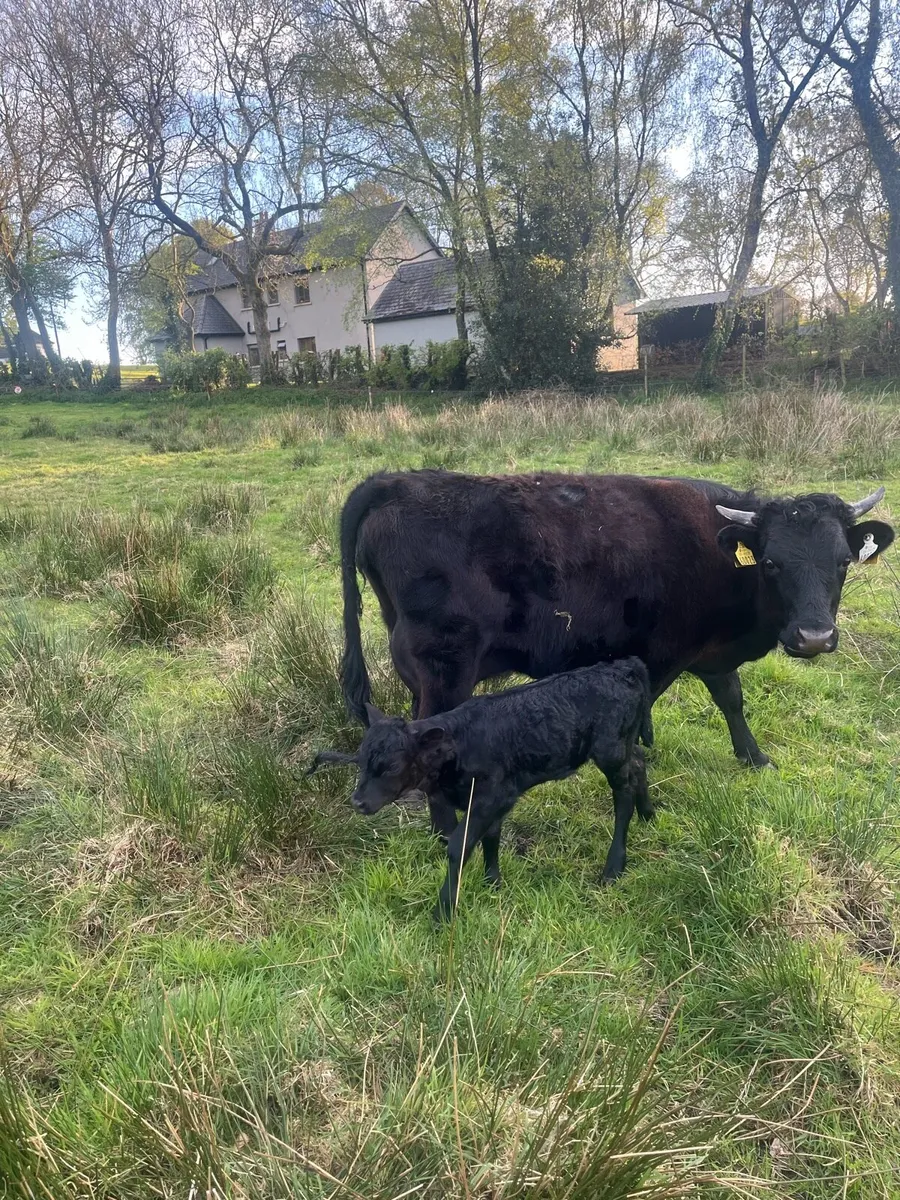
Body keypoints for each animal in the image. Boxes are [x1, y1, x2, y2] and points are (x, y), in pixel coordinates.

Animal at [311, 656, 654, 920]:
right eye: (361, 759)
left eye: (392, 767)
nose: (358, 801)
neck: (458, 747)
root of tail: (620, 667)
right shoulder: (491, 801)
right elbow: (491, 837)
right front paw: (493, 884)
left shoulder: (492, 796)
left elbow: (458, 846)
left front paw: (443, 913)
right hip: (622, 746)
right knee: (638, 762)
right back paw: (648, 815)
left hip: (609, 750)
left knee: (623, 793)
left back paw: (613, 867)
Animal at [338, 470, 893, 834]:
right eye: (772, 563)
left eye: (843, 562)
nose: (814, 637)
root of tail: (396, 480)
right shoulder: (663, 654)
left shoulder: (708, 654)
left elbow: (732, 699)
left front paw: (754, 758)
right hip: (445, 670)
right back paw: (447, 831)